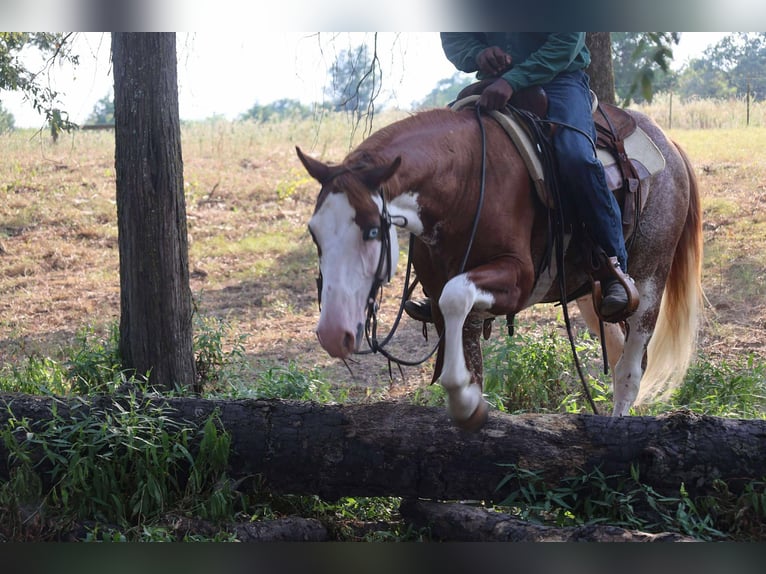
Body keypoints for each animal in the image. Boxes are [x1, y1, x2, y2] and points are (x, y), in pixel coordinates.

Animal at [296, 101, 703, 431]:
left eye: (371, 231)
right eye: (314, 232)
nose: (332, 332)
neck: (464, 182)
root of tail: (669, 145)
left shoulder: (517, 278)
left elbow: (456, 297)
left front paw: (463, 399)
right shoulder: (440, 290)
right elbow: (462, 340)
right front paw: (470, 401)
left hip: (650, 281)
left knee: (630, 368)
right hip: (593, 295)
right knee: (617, 349)